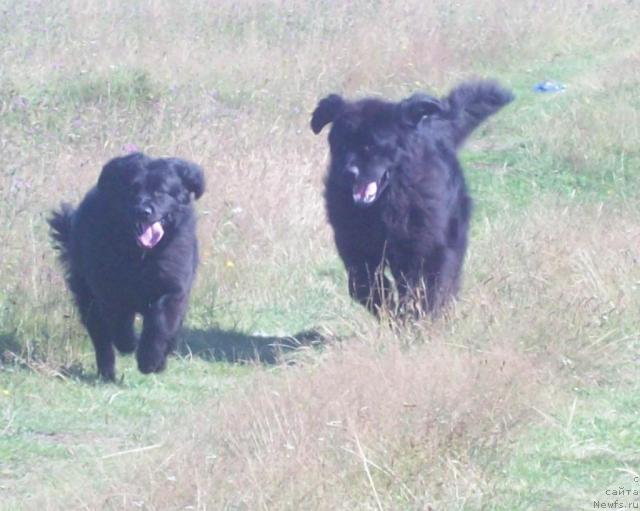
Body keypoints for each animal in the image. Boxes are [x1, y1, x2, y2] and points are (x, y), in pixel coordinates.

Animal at [50, 152, 205, 380]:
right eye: (132, 189)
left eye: (160, 191)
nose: (143, 211)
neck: (141, 256)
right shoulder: (109, 288)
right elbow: (119, 319)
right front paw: (129, 343)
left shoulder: (171, 287)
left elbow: (160, 324)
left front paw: (150, 360)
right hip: (86, 296)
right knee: (101, 338)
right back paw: (107, 372)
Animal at [312, 79, 516, 316]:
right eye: (340, 145)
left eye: (370, 146)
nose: (347, 172)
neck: (382, 210)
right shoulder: (356, 249)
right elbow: (364, 284)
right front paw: (388, 309)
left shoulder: (426, 248)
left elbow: (426, 287)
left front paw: (416, 317)